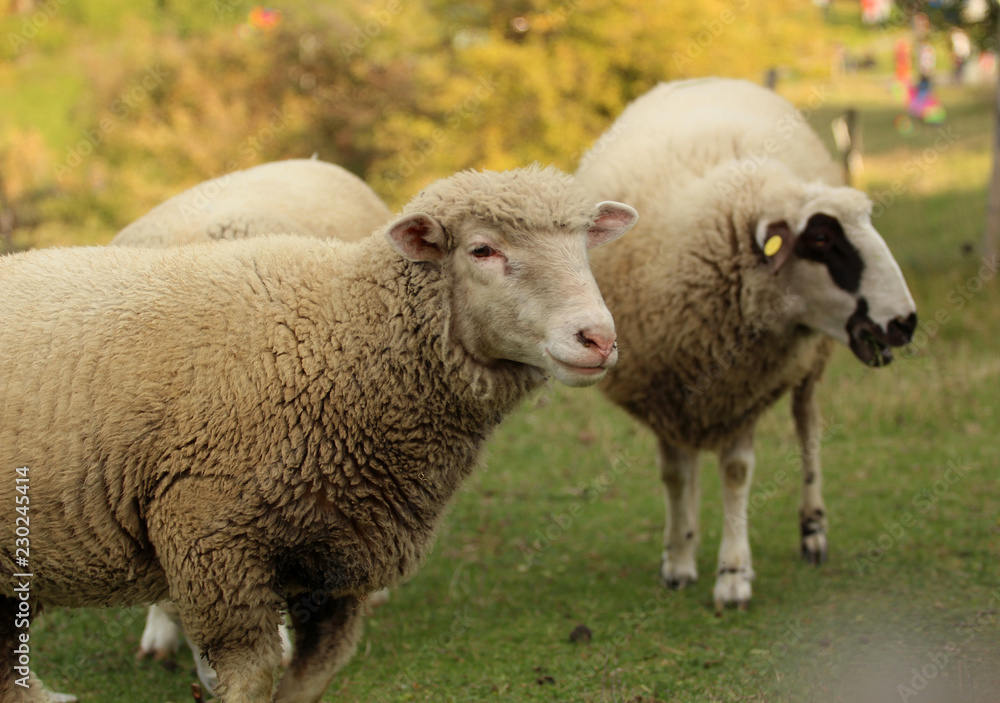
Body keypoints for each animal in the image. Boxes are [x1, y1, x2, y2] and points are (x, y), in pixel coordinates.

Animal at [576, 80, 916, 612]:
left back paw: (813, 531)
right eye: (822, 238)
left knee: (807, 428)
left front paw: (733, 575)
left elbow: (736, 473)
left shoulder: (744, 390)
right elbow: (674, 475)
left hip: (809, 368)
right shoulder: (663, 387)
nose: (905, 322)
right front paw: (678, 560)